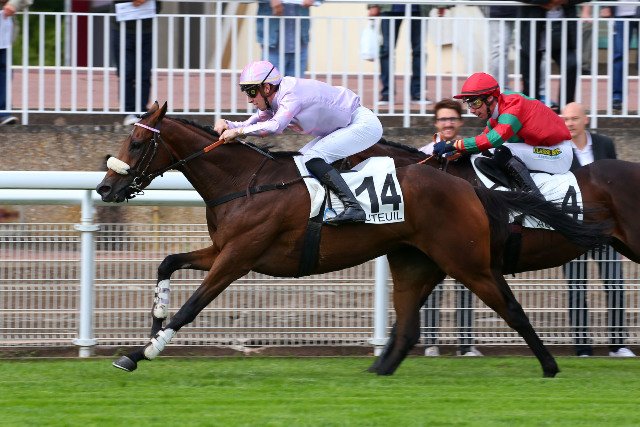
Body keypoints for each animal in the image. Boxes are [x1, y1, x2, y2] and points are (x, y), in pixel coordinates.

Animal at [96, 102, 608, 378]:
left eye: (137, 144)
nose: (104, 188)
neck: (245, 182)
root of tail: (468, 185)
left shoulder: (239, 257)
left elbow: (192, 306)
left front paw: (141, 353)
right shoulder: (223, 250)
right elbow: (168, 261)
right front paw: (154, 316)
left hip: (469, 263)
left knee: (512, 308)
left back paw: (550, 366)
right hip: (416, 260)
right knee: (410, 323)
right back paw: (380, 370)